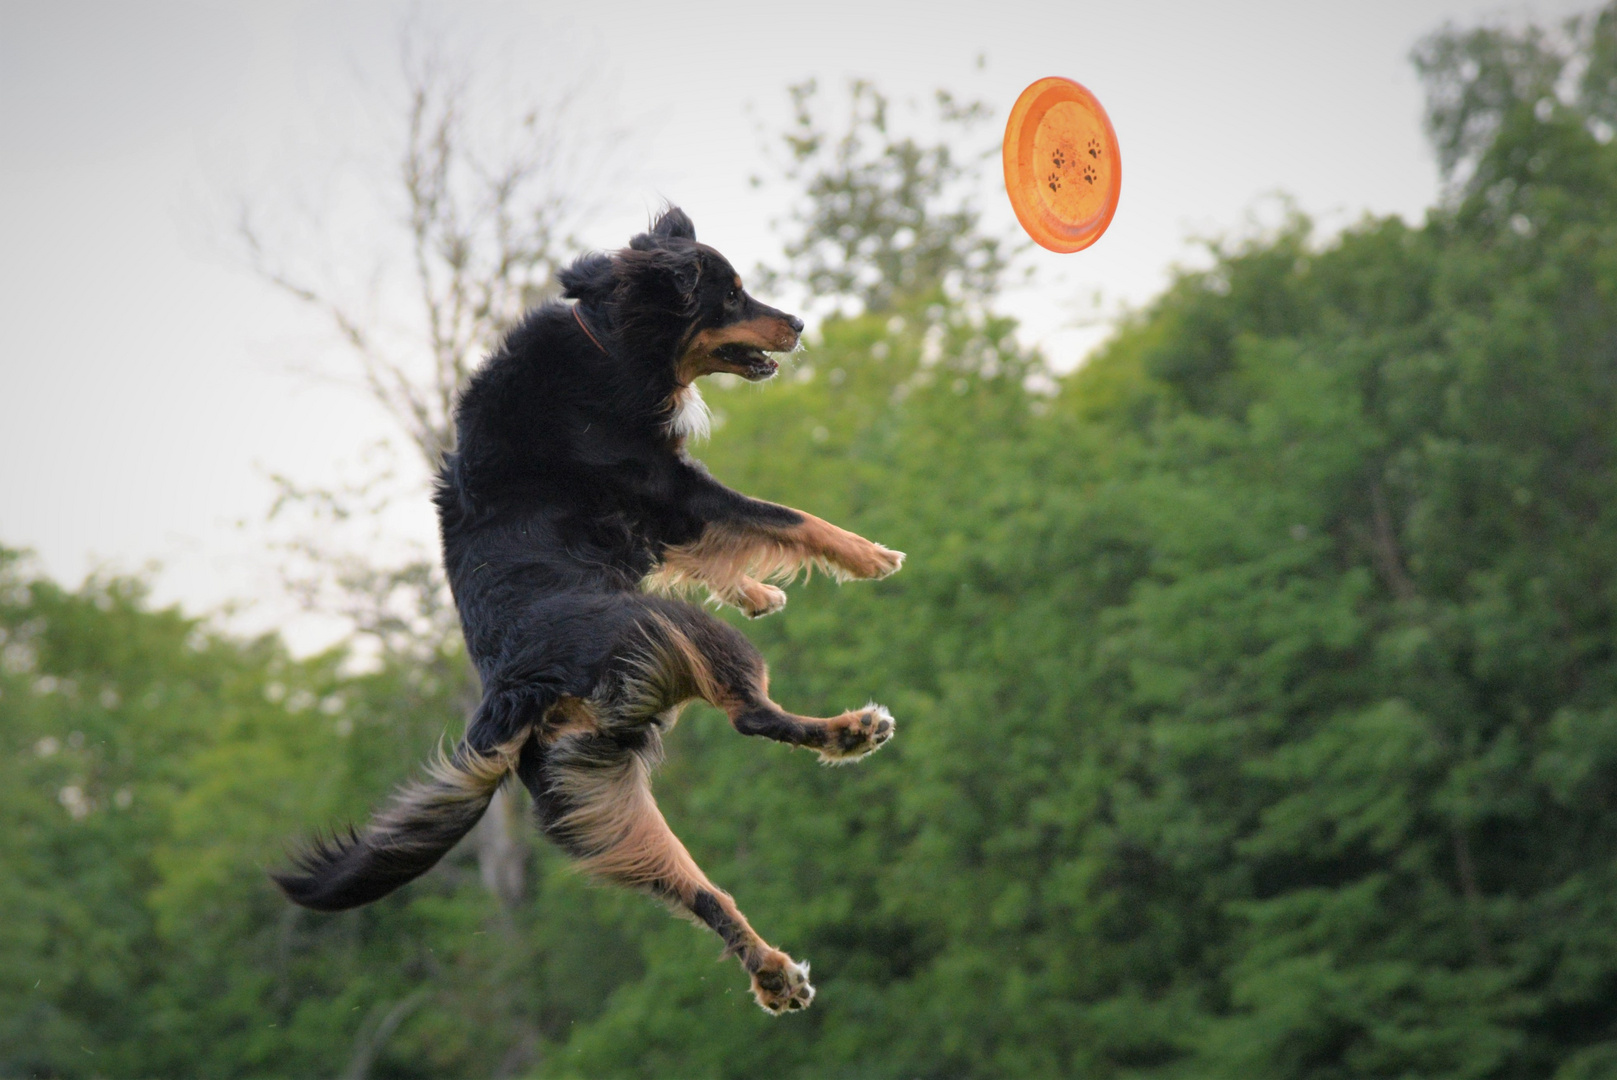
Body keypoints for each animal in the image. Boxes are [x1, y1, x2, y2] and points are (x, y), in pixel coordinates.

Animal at [279, 204, 911, 1015]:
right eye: (732, 295)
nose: (798, 323)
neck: (609, 339)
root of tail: (521, 693)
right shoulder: (672, 485)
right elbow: (785, 519)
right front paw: (869, 556)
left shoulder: (663, 511)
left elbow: (711, 551)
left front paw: (761, 590)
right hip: (679, 637)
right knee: (752, 717)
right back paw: (854, 731)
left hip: (602, 801)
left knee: (700, 894)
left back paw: (773, 973)